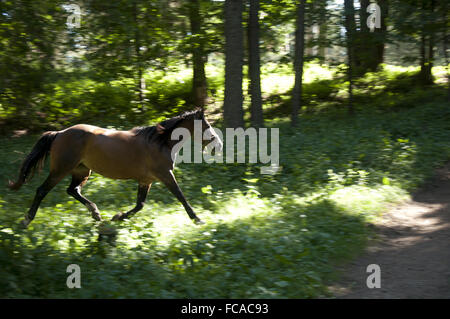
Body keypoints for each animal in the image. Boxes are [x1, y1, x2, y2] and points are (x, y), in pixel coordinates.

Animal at [7, 109, 222, 228]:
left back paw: (96, 213)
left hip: (82, 171)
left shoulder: (146, 180)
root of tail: (59, 133)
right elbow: (181, 197)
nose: (218, 145)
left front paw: (117, 217)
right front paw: (197, 219)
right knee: (42, 190)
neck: (160, 142)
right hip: (61, 169)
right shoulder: (165, 175)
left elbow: (140, 204)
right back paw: (26, 220)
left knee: (72, 190)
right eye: (206, 126)